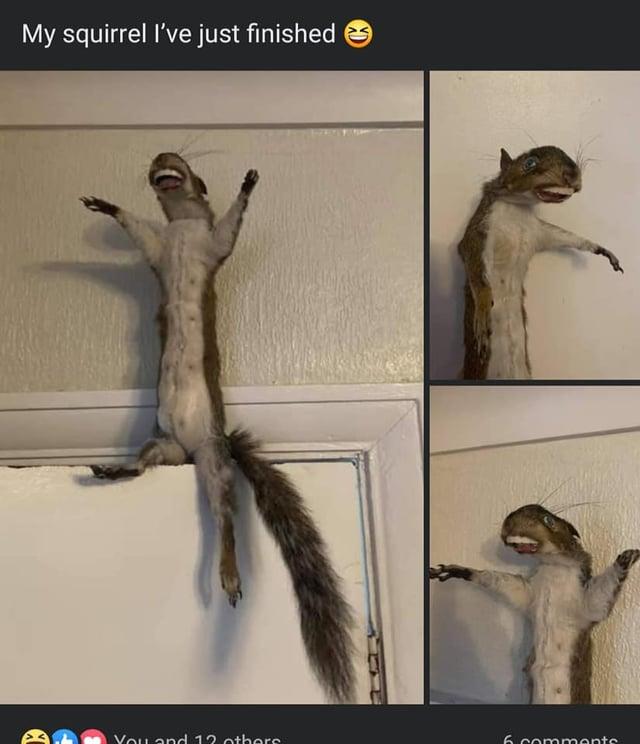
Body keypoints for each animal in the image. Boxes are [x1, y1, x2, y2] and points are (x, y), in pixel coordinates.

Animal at [80, 152, 355, 703]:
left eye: (183, 163)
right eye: (162, 158)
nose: (162, 159)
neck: (182, 224)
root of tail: (191, 448)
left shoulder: (212, 247)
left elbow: (230, 228)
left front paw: (248, 186)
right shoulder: (158, 249)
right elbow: (135, 228)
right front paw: (106, 205)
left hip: (211, 460)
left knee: (225, 518)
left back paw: (228, 571)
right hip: (161, 444)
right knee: (149, 465)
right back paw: (119, 470)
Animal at [430, 503, 640, 704]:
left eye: (548, 520)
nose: (508, 521)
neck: (552, 567)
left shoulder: (583, 605)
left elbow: (599, 598)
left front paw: (627, 558)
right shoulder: (529, 593)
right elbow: (501, 581)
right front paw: (455, 570)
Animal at [459, 146, 623, 379]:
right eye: (529, 163)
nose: (573, 174)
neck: (518, 208)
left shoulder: (539, 232)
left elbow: (566, 236)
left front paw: (599, 248)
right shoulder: (479, 229)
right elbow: (473, 264)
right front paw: (481, 314)